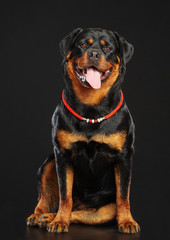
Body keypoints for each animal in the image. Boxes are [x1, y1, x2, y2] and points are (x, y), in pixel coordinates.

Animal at [26, 27, 139, 233]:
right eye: (83, 44)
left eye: (108, 48)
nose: (94, 54)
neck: (91, 105)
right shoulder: (62, 155)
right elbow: (65, 195)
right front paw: (59, 221)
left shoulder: (124, 157)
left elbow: (123, 196)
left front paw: (127, 221)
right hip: (48, 162)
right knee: (49, 198)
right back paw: (41, 215)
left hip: (103, 210)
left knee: (84, 213)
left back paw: (49, 217)